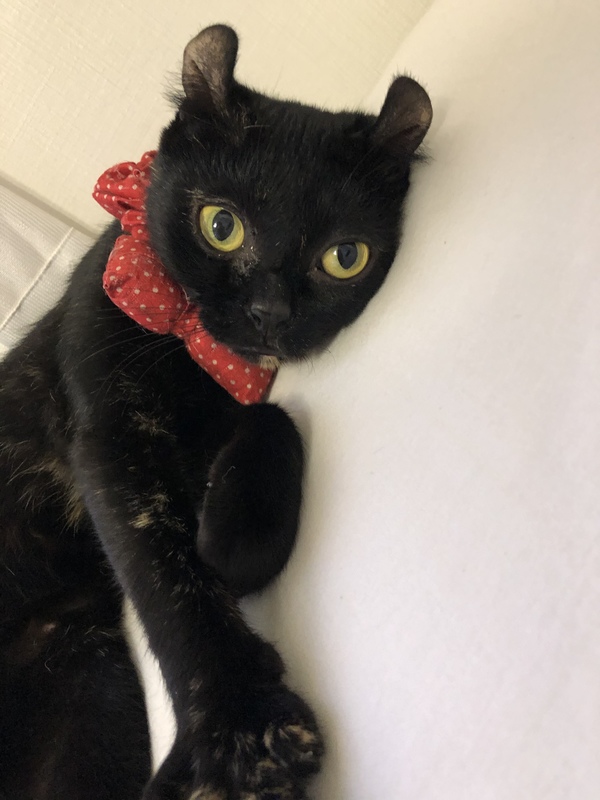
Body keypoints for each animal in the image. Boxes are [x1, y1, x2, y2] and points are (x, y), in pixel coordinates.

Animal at [0, 24, 431, 800]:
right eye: (221, 225)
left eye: (344, 257)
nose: (270, 312)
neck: (197, 365)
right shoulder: (110, 439)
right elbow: (168, 578)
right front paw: (246, 730)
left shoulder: (239, 401)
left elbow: (272, 422)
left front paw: (236, 544)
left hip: (87, 681)